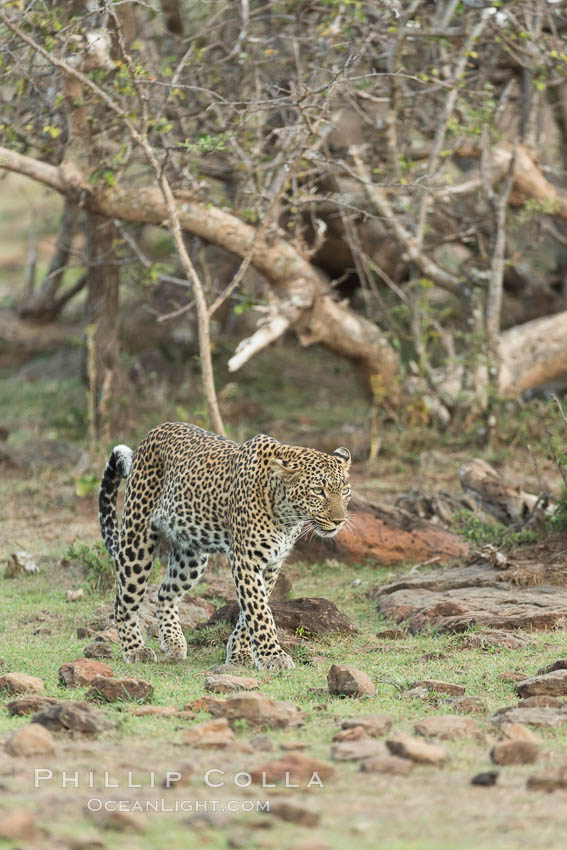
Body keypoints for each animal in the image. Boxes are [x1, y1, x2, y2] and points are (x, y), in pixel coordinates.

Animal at [100, 420, 352, 672]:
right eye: (318, 491)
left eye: (345, 491)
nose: (339, 521)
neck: (287, 516)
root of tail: (155, 430)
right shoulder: (246, 559)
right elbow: (259, 611)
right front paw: (273, 656)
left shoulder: (272, 563)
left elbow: (251, 610)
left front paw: (240, 652)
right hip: (136, 539)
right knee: (124, 602)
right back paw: (135, 649)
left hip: (191, 557)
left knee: (164, 593)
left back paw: (173, 642)